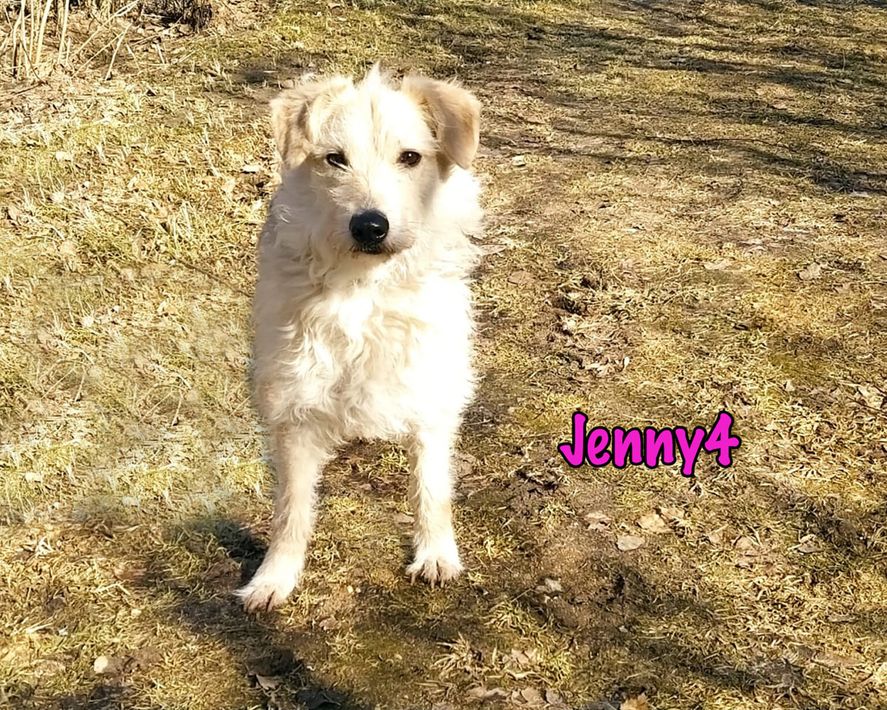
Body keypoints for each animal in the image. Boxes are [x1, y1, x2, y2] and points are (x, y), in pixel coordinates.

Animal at [236, 65, 483, 612]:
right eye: (335, 159)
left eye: (410, 157)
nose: (370, 226)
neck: (364, 288)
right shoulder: (295, 408)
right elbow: (292, 507)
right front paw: (274, 577)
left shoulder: (431, 400)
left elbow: (431, 488)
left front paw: (436, 552)